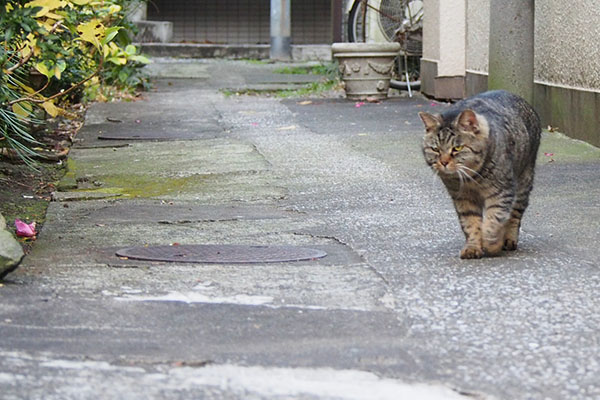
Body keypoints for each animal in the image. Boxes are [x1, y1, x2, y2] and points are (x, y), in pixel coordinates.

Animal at [420, 90, 540, 260]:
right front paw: (473, 247)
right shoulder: (463, 198)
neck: (472, 178)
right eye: (435, 149)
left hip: (523, 182)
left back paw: (508, 240)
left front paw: (491, 244)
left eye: (457, 148)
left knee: (515, 215)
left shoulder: (501, 193)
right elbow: (471, 223)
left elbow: (493, 222)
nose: (443, 162)